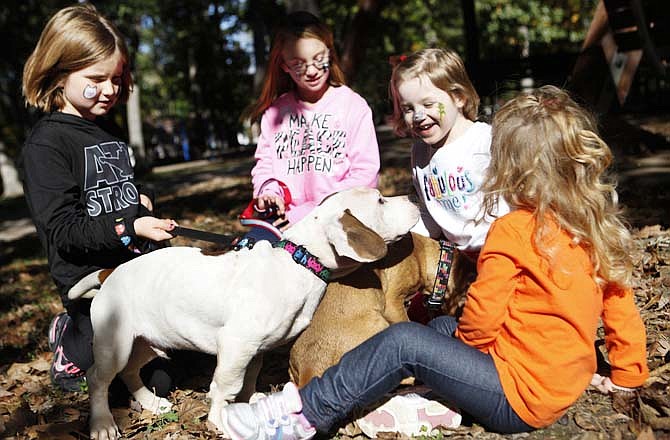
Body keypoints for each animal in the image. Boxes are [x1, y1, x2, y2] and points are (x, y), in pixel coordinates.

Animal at [79, 187, 420, 440]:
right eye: (380, 200)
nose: (414, 197)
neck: (299, 260)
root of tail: (110, 272)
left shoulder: (256, 350)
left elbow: (248, 380)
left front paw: (248, 404)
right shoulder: (236, 344)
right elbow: (226, 386)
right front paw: (219, 420)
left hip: (146, 342)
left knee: (129, 371)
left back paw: (150, 402)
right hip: (114, 343)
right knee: (97, 378)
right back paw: (102, 423)